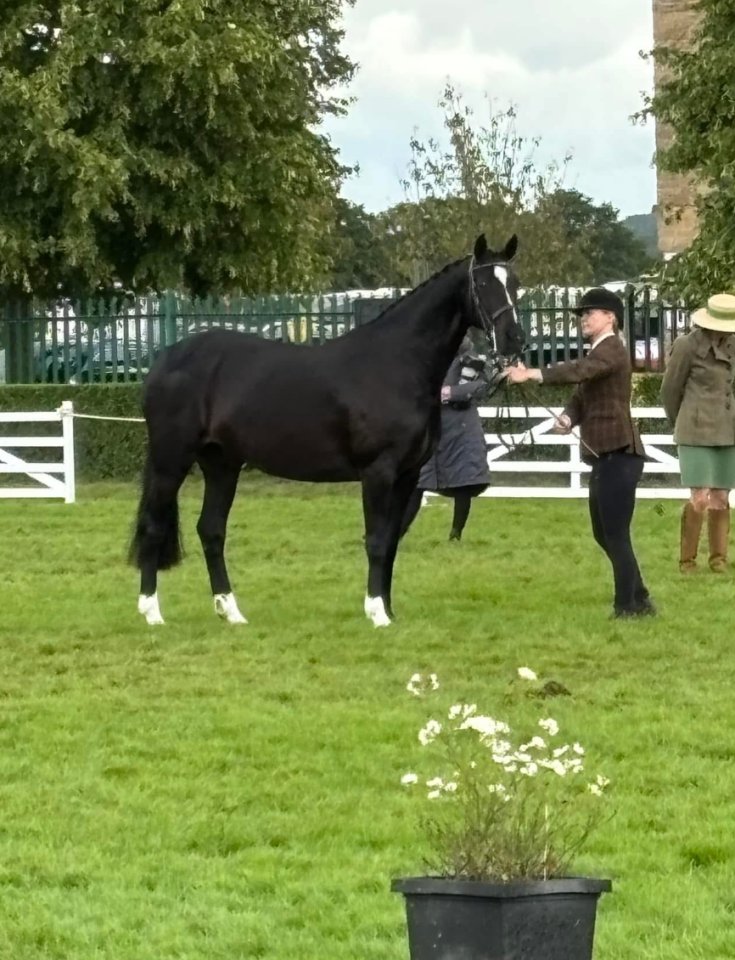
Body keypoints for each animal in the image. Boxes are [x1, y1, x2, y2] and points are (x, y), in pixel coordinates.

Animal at [129, 233, 525, 627]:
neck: (396, 364)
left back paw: (232, 612)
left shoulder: (408, 475)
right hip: (171, 461)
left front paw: (389, 611)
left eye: (515, 284)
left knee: (211, 530)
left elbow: (392, 541)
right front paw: (376, 613)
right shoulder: (378, 472)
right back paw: (152, 613)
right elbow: (376, 541)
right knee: (153, 526)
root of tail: (165, 359)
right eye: (483, 284)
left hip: (221, 464)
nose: (514, 339)